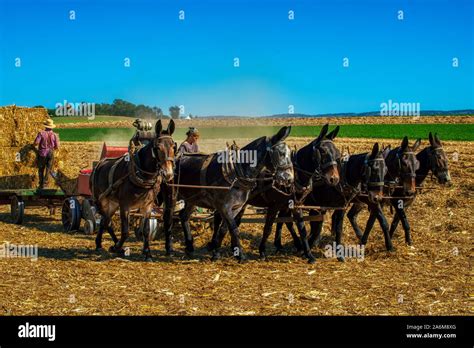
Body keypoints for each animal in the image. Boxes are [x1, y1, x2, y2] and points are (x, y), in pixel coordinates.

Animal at [173, 127, 292, 260]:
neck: (235, 172)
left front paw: (217, 253)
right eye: (281, 153)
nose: (289, 178)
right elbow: (235, 229)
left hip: (192, 199)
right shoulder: (225, 207)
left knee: (184, 216)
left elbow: (225, 229)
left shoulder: (235, 207)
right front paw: (241, 255)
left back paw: (189, 247)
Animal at [211, 123, 340, 262]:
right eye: (323, 151)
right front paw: (262, 251)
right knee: (219, 219)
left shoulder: (295, 205)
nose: (334, 178)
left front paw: (308, 254)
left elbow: (302, 229)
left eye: (337, 152)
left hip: (242, 204)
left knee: (233, 221)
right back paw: (213, 245)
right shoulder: (274, 205)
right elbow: (268, 228)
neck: (296, 175)